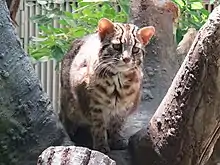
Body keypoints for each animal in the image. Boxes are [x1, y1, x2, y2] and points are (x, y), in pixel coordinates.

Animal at [58, 18, 155, 153]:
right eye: (117, 46)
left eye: (135, 49)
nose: (126, 59)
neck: (118, 81)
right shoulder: (94, 105)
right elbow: (98, 126)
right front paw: (100, 145)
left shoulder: (123, 107)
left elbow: (117, 124)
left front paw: (116, 140)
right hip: (68, 104)